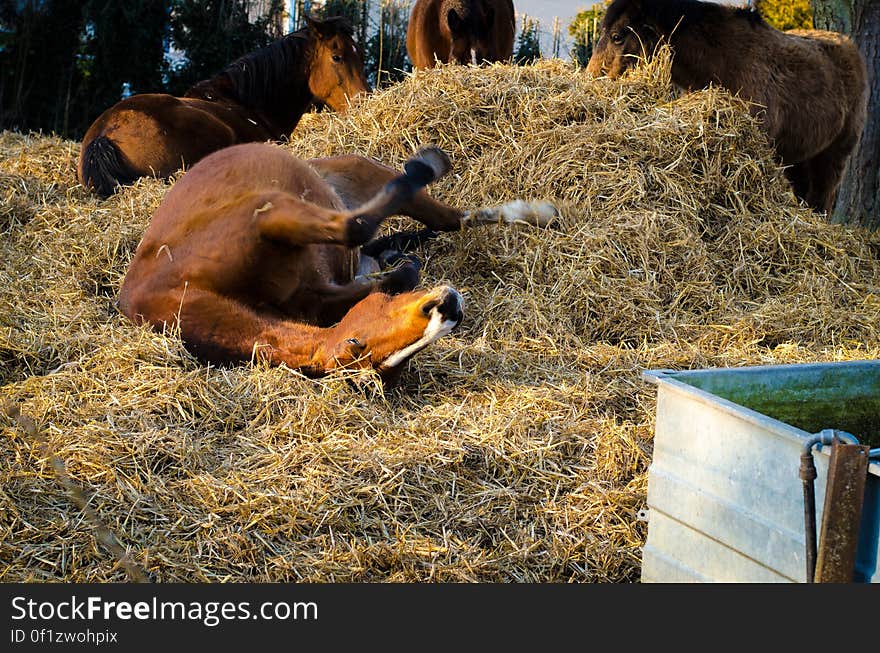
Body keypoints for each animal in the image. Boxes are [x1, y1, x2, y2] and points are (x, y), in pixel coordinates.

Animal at [117, 140, 556, 380]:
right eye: (356, 346)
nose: (448, 308)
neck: (181, 288)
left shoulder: (270, 211)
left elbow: (354, 226)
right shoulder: (319, 294)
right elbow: (385, 269)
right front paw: (398, 268)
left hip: (364, 175)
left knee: (448, 218)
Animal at [588, 0, 868, 215]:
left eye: (617, 36)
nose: (592, 78)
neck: (724, 61)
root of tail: (849, 46)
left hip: (832, 156)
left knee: (821, 198)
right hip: (798, 158)